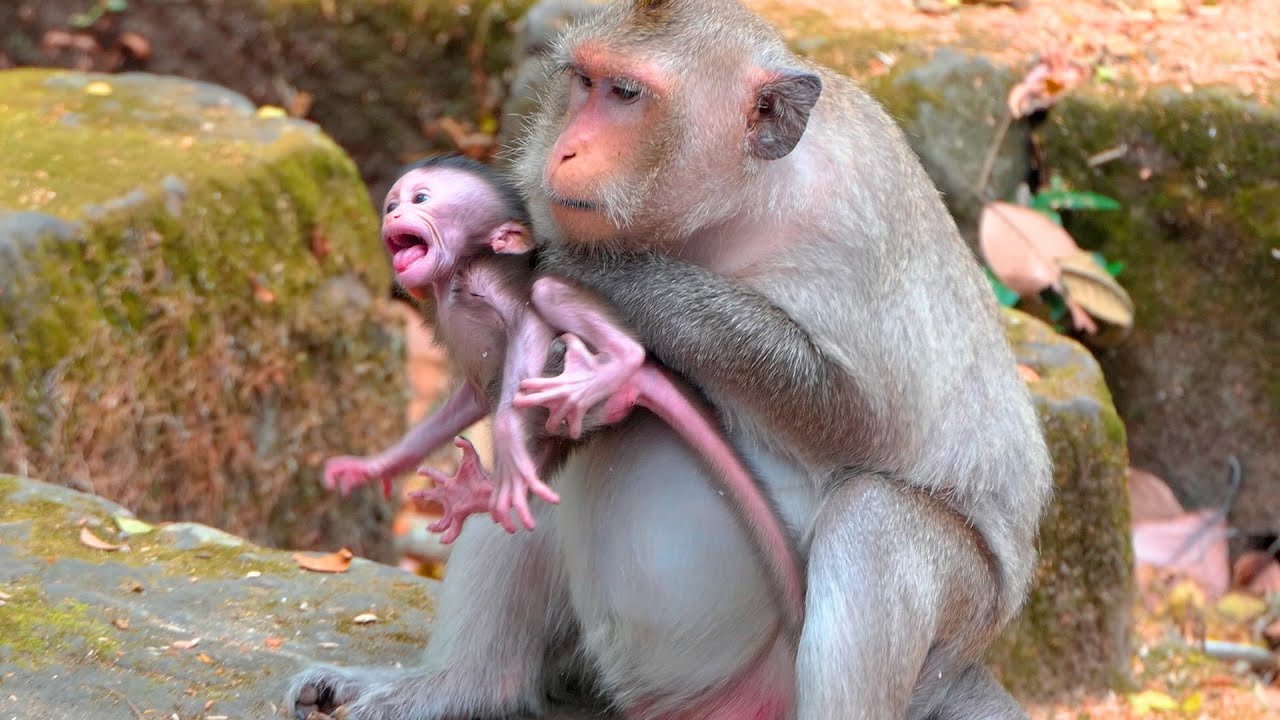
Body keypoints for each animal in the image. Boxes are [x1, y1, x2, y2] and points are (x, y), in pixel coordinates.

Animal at [320, 153, 804, 618]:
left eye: (420, 198)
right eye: (392, 205)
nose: (393, 215)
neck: (450, 282)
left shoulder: (484, 276)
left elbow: (527, 320)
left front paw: (505, 438)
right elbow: (473, 397)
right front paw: (374, 467)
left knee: (550, 294)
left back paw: (616, 364)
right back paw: (477, 493)